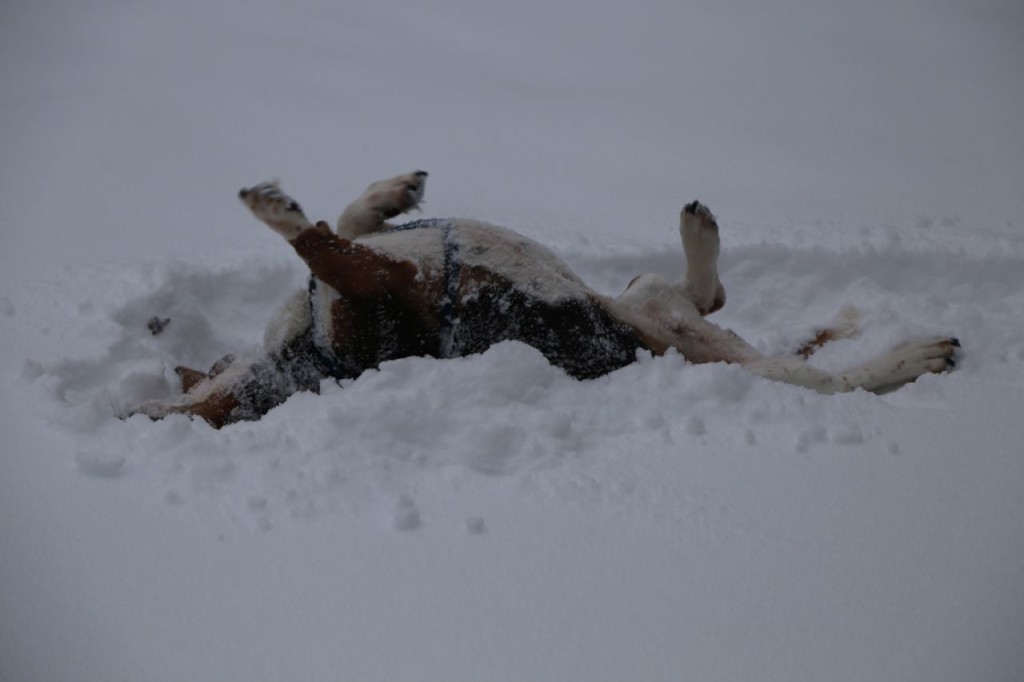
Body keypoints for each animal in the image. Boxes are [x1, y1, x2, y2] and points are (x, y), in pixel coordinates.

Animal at [130, 168, 958, 425]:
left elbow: (345, 228)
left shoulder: (375, 271)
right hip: (715, 352)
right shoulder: (381, 282)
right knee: (827, 378)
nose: (132, 410)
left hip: (648, 300)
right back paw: (919, 353)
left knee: (705, 293)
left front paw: (389, 193)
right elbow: (318, 241)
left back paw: (699, 228)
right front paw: (272, 206)